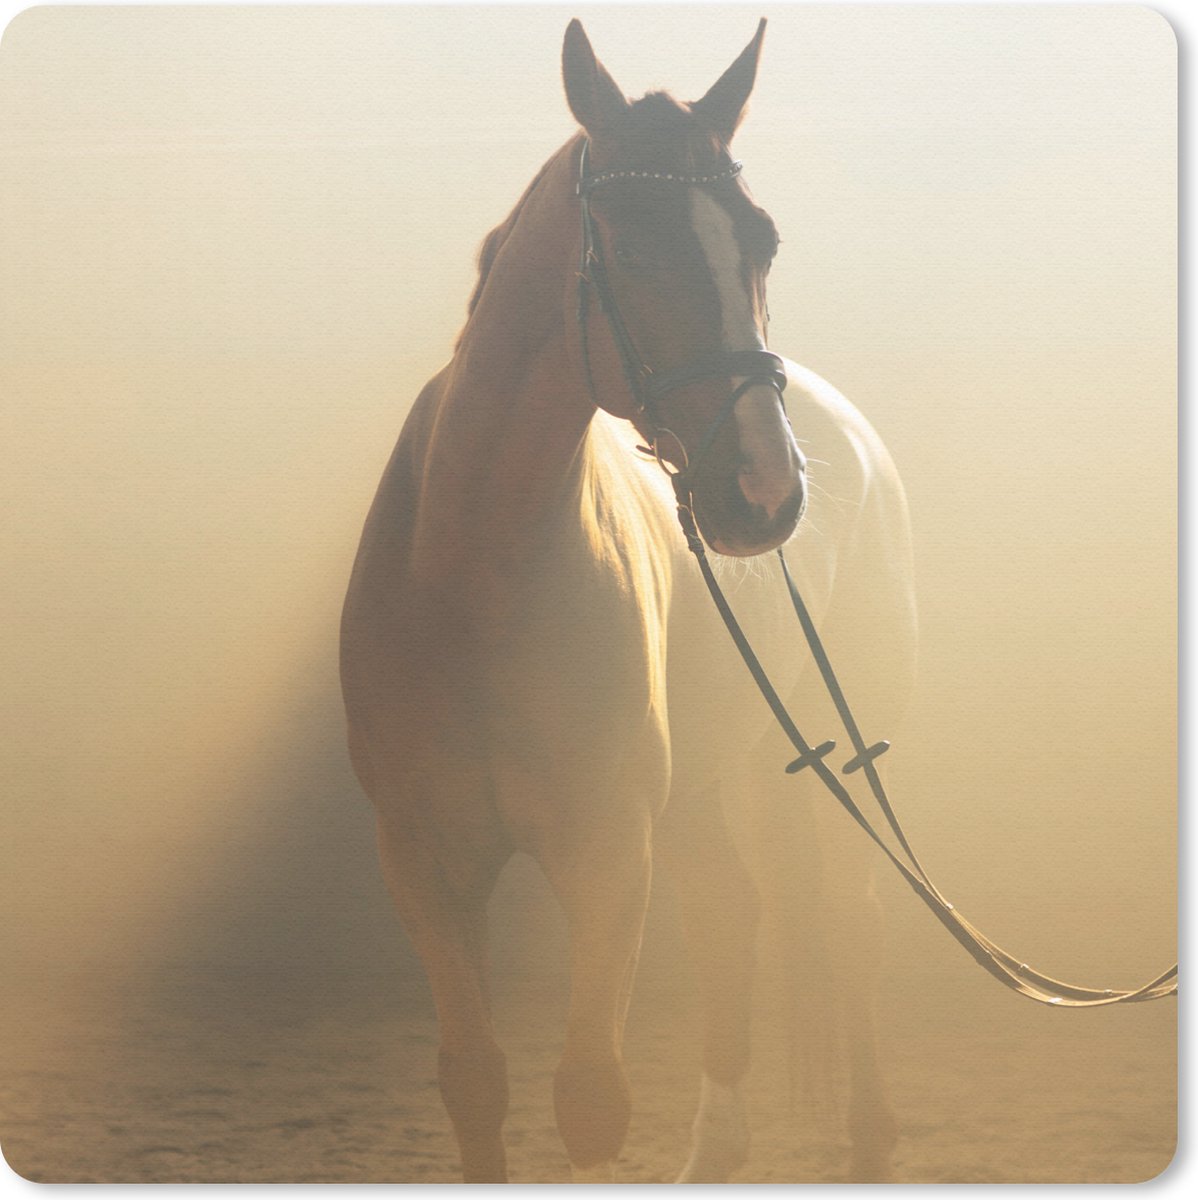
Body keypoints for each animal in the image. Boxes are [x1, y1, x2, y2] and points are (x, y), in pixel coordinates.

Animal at [340, 18, 917, 1183]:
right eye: (633, 247)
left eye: (761, 242)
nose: (763, 491)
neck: (473, 580)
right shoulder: (425, 862)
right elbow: (477, 1082)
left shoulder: (606, 855)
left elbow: (592, 1100)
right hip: (699, 787)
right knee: (733, 916)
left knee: (853, 922)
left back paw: (871, 1136)